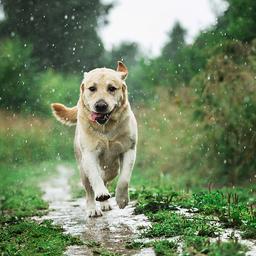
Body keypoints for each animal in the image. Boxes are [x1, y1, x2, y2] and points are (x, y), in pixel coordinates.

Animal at [50, 61, 137, 216]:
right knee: (89, 190)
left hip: (113, 167)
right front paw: (101, 193)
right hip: (82, 168)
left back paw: (105, 203)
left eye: (112, 88)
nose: (100, 105)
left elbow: (124, 179)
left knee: (108, 175)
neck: (106, 128)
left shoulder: (129, 149)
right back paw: (93, 208)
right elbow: (95, 178)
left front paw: (121, 199)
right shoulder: (89, 155)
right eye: (92, 88)